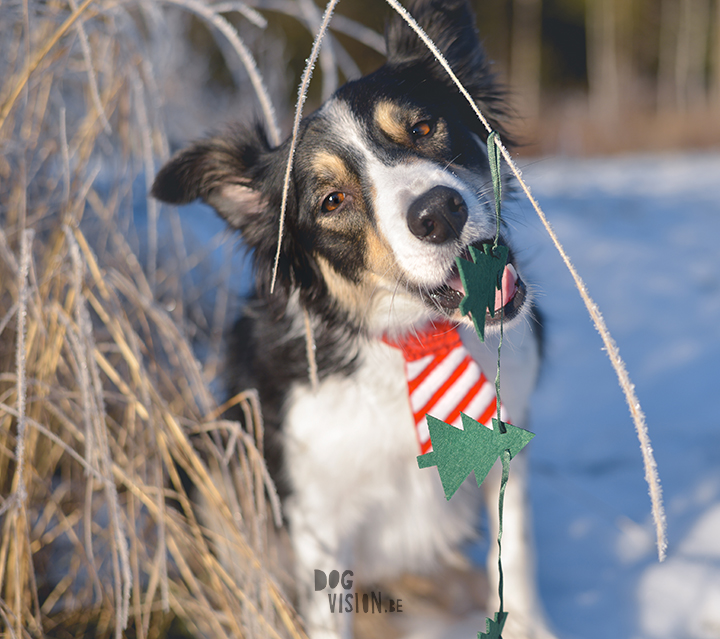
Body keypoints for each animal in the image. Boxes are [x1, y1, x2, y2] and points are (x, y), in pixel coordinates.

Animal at [153, 2, 556, 636]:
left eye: (423, 129)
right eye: (333, 201)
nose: (439, 213)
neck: (409, 340)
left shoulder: (507, 445)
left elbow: (515, 559)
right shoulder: (320, 520)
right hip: (212, 460)